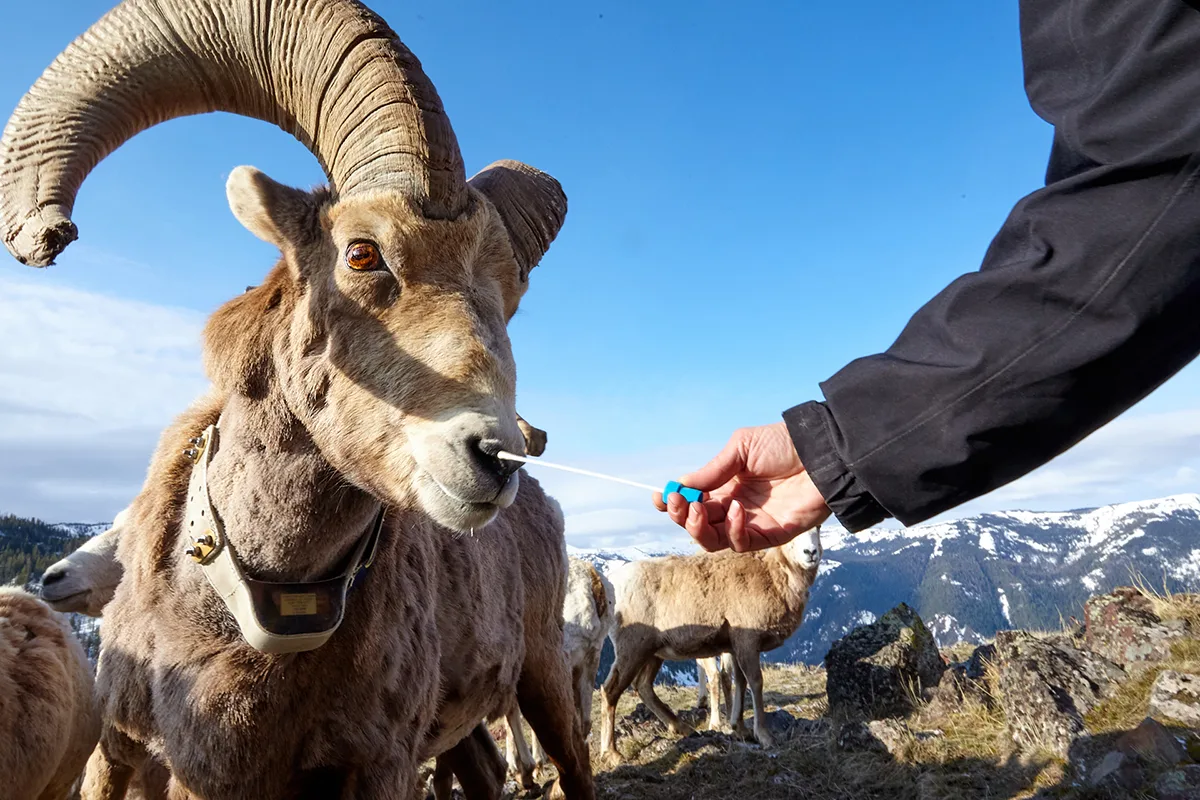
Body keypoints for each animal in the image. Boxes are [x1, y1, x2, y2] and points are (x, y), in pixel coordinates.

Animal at [599, 528, 822, 763]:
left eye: (817, 528)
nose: (811, 552)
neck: (773, 575)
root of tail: (611, 585)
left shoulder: (735, 646)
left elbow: (739, 682)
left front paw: (740, 729)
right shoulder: (747, 641)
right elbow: (755, 682)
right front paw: (764, 737)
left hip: (652, 651)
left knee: (643, 686)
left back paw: (682, 728)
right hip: (632, 647)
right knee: (610, 691)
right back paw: (611, 753)